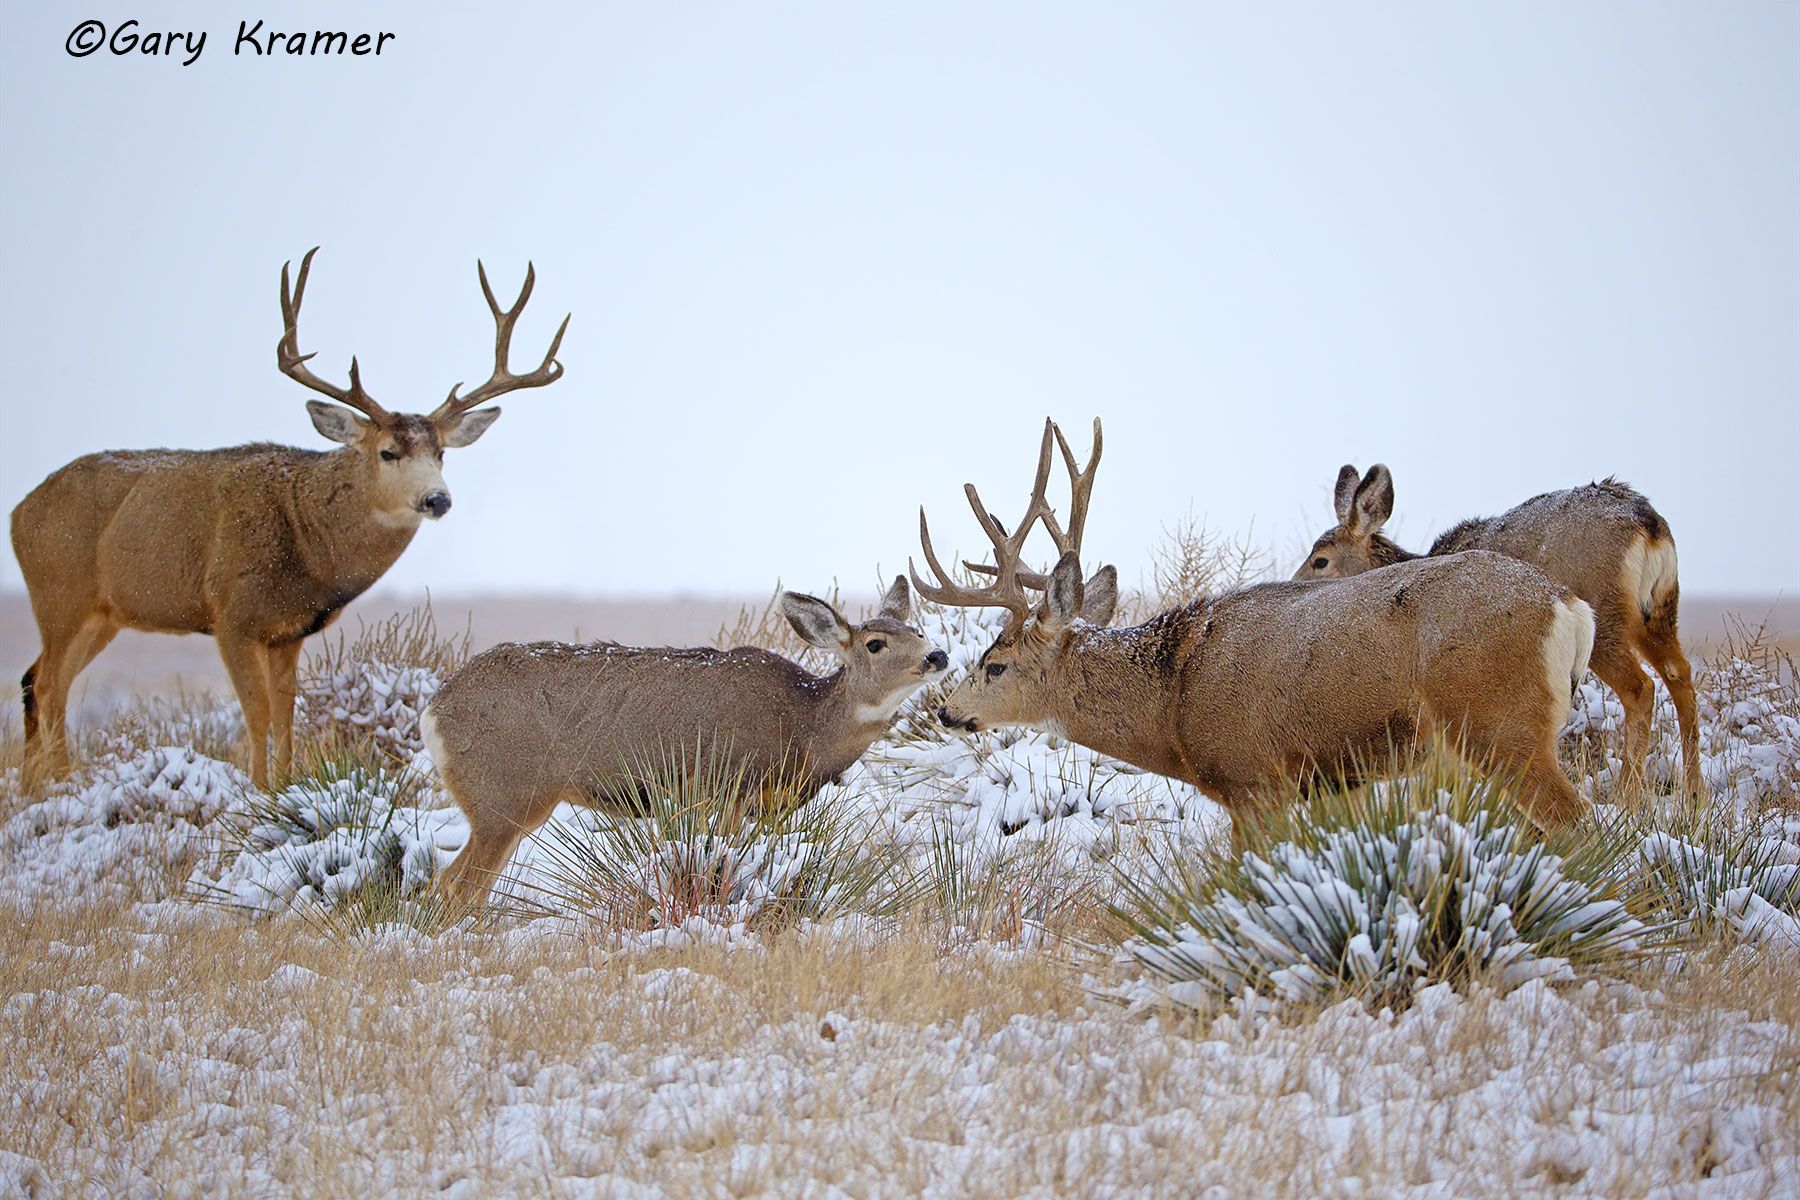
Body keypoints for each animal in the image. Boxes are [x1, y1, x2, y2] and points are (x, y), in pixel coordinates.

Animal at [10, 248, 568, 790]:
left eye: (442, 454)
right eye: (387, 452)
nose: (437, 499)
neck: (305, 541)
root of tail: (19, 510)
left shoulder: (289, 631)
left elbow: (285, 713)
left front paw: (285, 784)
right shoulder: (231, 612)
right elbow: (256, 712)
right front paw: (257, 791)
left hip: (101, 613)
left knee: (37, 680)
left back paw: (36, 786)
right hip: (60, 594)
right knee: (49, 682)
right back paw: (60, 786)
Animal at [423, 578, 949, 908]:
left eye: (918, 629)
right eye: (875, 643)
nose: (938, 655)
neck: (803, 728)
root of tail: (434, 710)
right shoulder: (728, 787)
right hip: (505, 795)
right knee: (456, 885)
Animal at [913, 420, 1597, 842]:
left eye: (995, 664)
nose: (946, 711)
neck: (1174, 700)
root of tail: (1568, 606)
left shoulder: (1252, 779)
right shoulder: (1332, 786)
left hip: (1498, 722)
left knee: (1576, 816)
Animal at [1291, 464, 1702, 801]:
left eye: (1320, 560)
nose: (1293, 584)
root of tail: (1647, 523)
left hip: (1605, 616)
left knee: (1641, 688)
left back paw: (1628, 797)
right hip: (1661, 611)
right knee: (1680, 675)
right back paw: (1694, 794)